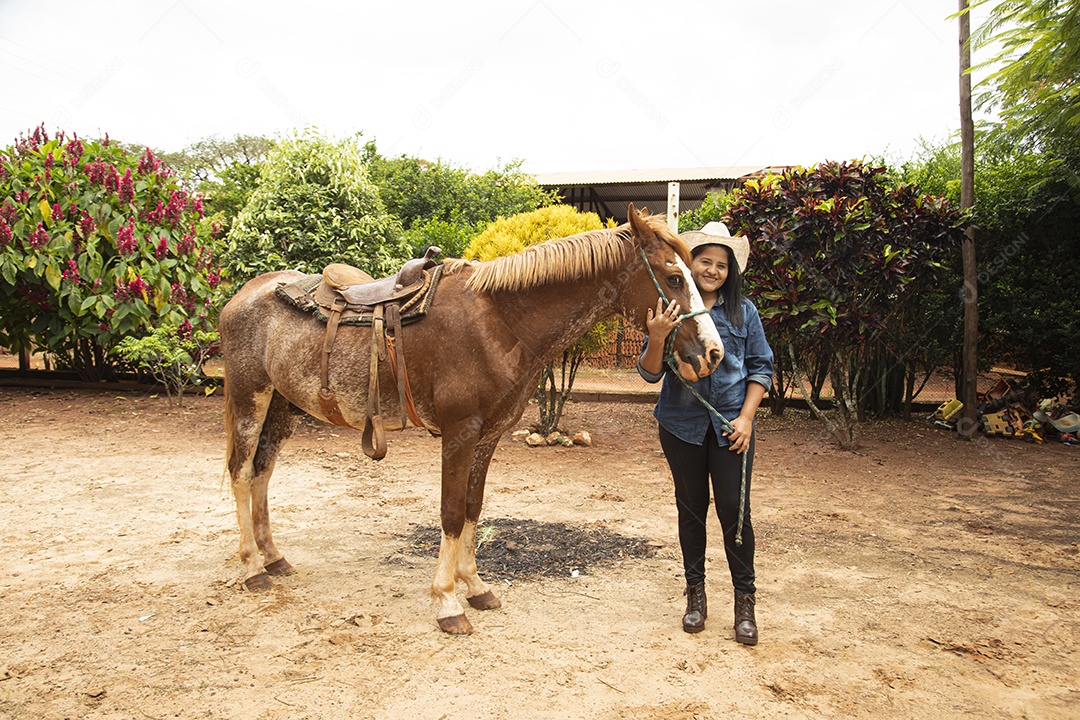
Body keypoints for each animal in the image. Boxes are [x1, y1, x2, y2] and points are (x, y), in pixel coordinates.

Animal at [221, 204, 725, 634]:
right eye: (673, 277)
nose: (713, 353)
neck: (500, 322)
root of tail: (243, 295)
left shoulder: (488, 437)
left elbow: (471, 508)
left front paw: (476, 587)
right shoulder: (459, 434)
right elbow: (449, 513)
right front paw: (446, 602)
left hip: (281, 405)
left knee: (262, 471)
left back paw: (273, 558)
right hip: (250, 397)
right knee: (242, 472)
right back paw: (252, 567)